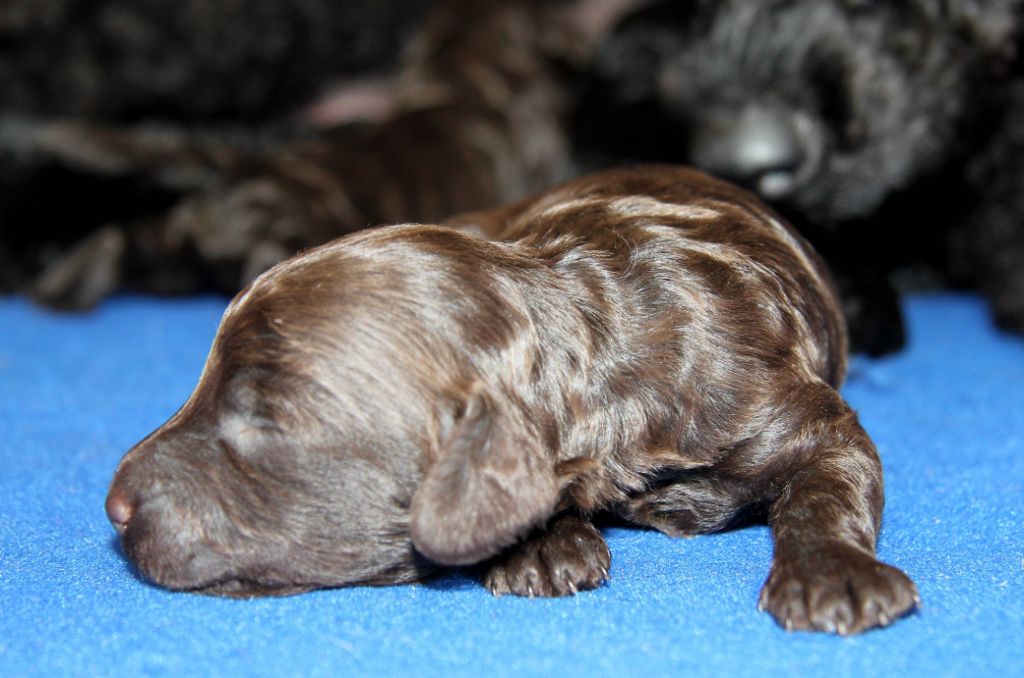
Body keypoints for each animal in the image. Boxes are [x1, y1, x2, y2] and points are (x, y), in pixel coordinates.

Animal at [105, 165, 921, 639]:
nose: (113, 508)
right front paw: (542, 543)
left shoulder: (797, 414)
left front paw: (833, 573)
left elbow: (828, 484)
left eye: (262, 412)